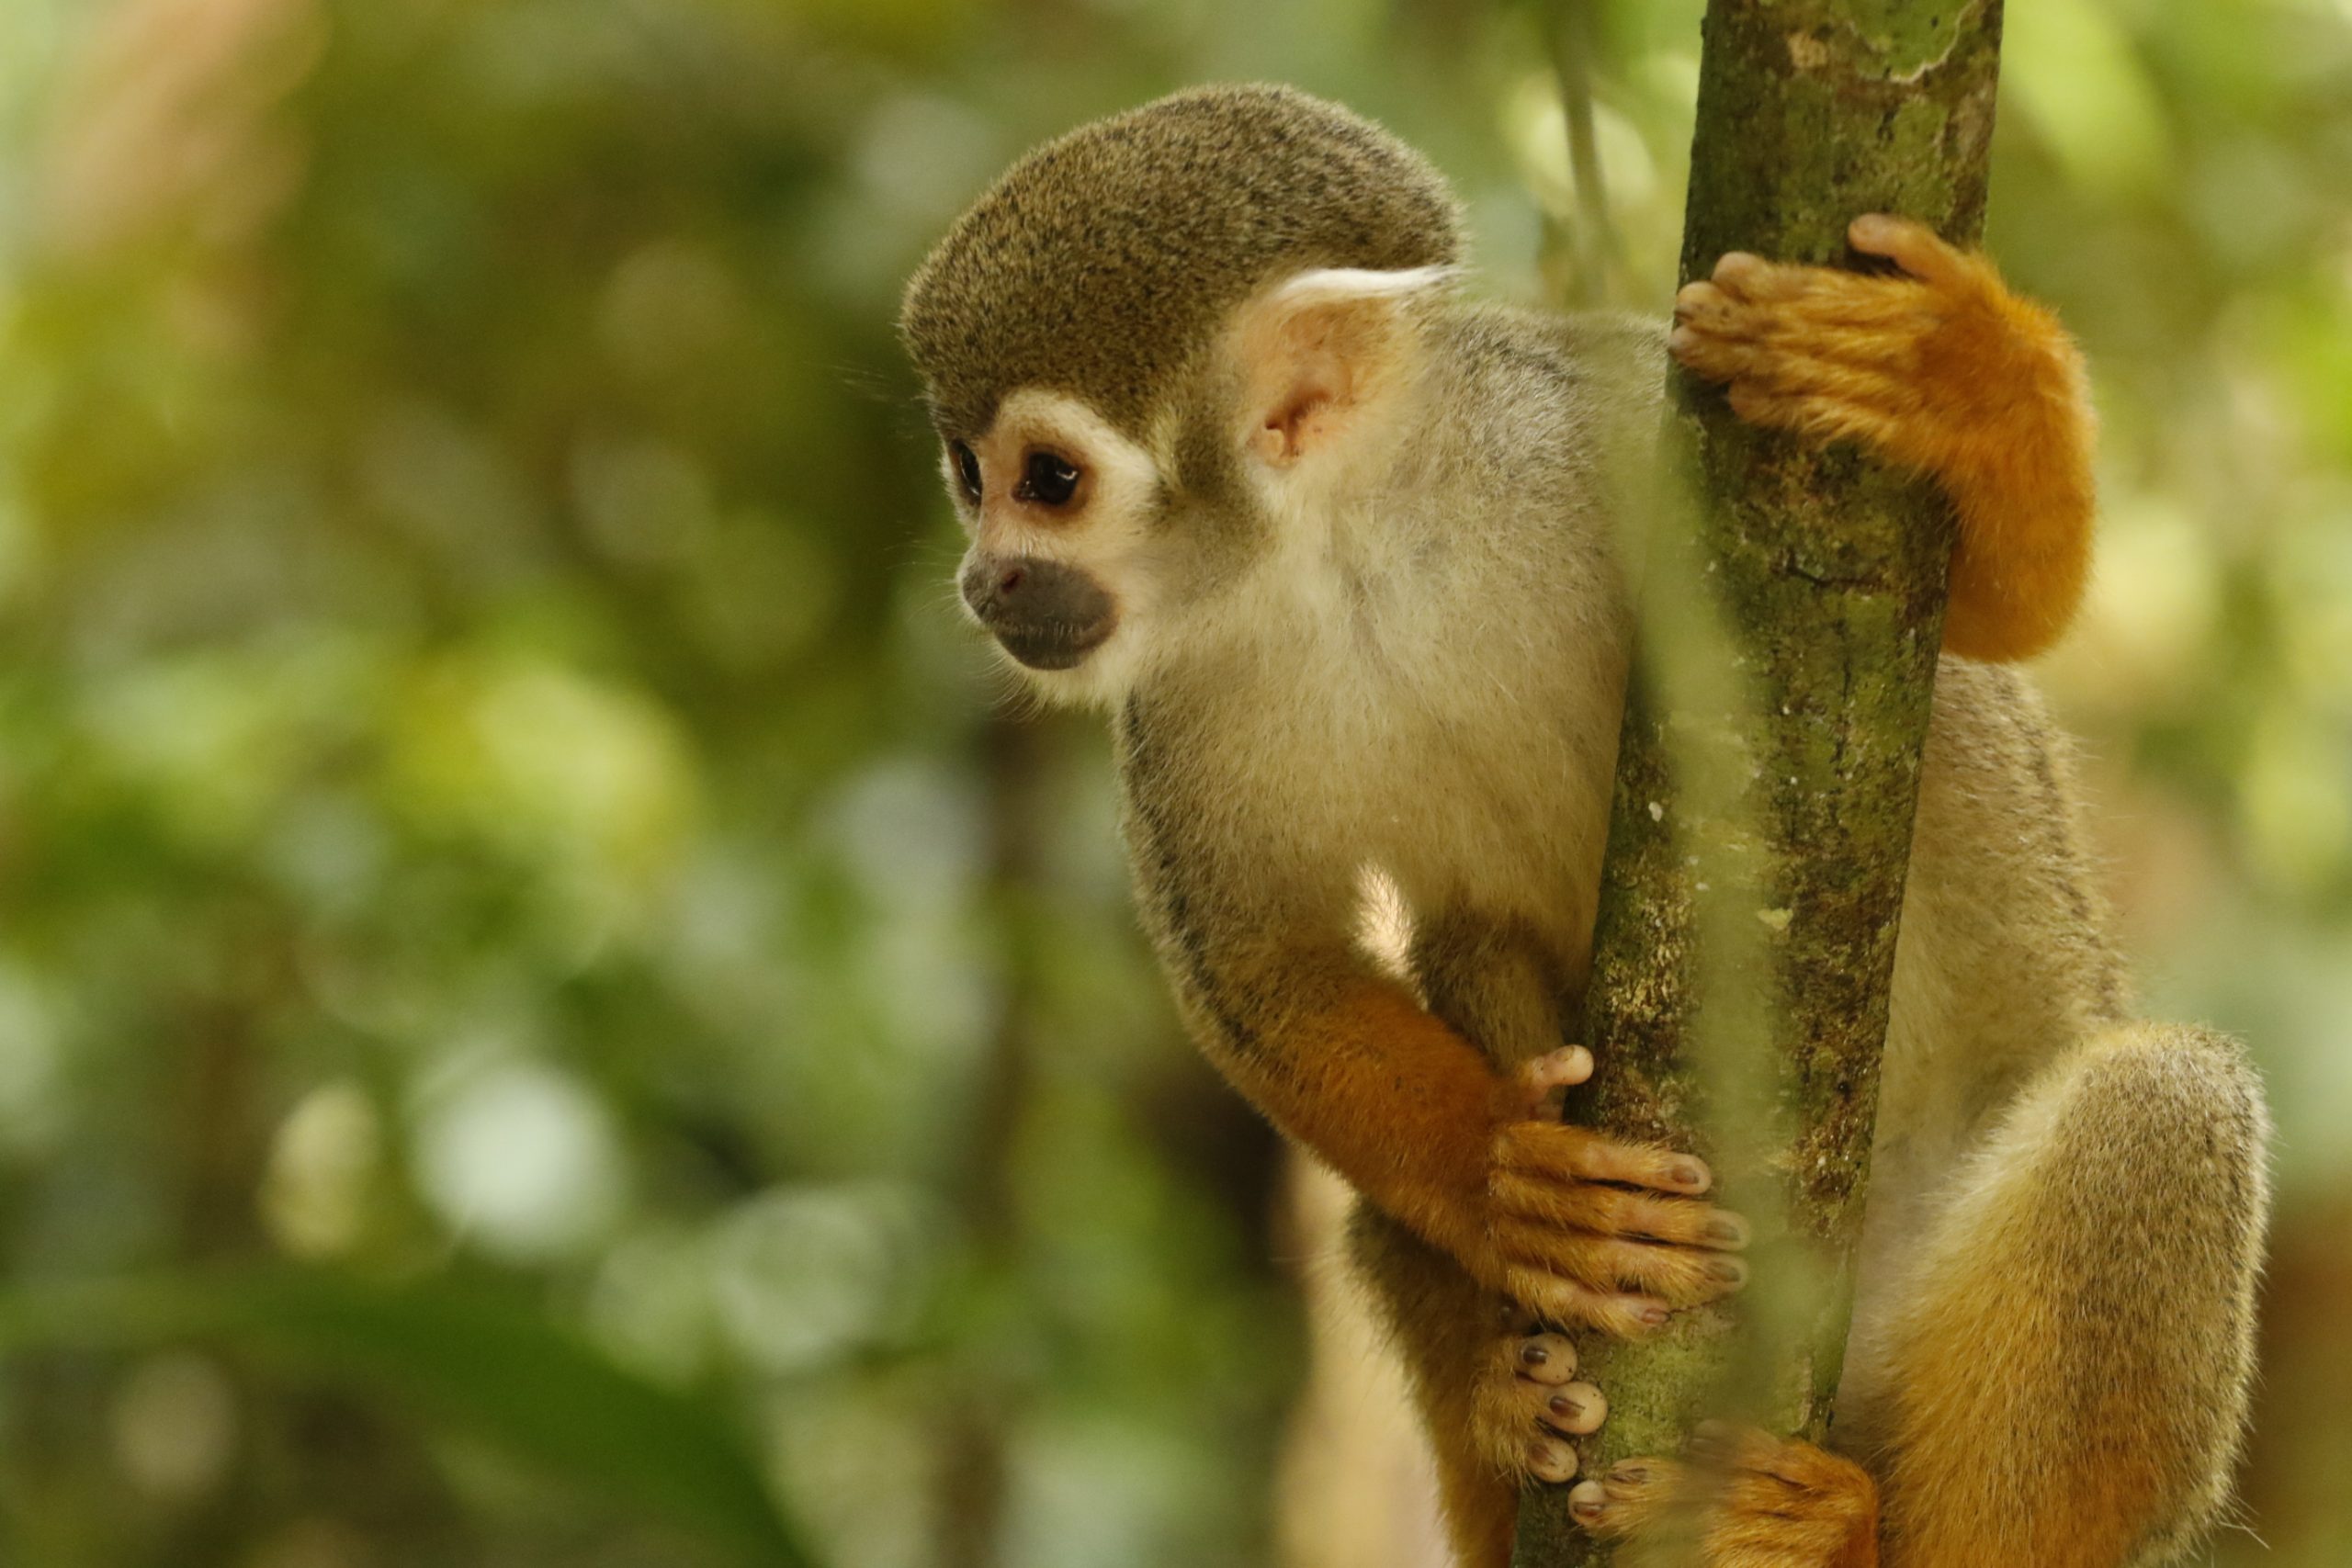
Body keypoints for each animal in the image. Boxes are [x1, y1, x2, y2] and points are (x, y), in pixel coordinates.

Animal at [898, 85, 2257, 1568]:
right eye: (969, 475)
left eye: (1048, 479)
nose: (984, 581)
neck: (1360, 542)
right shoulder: (1171, 699)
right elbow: (1267, 967)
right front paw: (1511, 1187)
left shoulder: (1614, 422)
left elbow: (2003, 613)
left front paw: (1950, 382)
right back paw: (1515, 1413)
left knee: (2158, 1105)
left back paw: (1849, 1537)